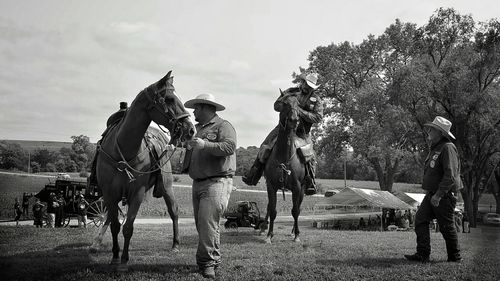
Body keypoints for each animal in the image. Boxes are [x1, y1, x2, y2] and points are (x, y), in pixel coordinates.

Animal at [94, 70, 194, 270]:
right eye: (169, 99)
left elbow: (128, 227)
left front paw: (124, 259)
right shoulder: (109, 194)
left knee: (174, 211)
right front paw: (115, 256)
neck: (123, 150)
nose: (191, 130)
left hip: (167, 187)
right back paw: (97, 242)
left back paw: (175, 244)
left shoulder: (137, 194)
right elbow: (115, 225)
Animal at [264, 92, 306, 243]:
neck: (284, 156)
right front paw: (269, 235)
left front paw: (297, 235)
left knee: (298, 207)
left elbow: (295, 211)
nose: (294, 120)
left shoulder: (297, 187)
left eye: (298, 105)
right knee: (268, 207)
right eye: (284, 103)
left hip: (303, 190)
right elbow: (272, 210)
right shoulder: (271, 186)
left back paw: (294, 231)